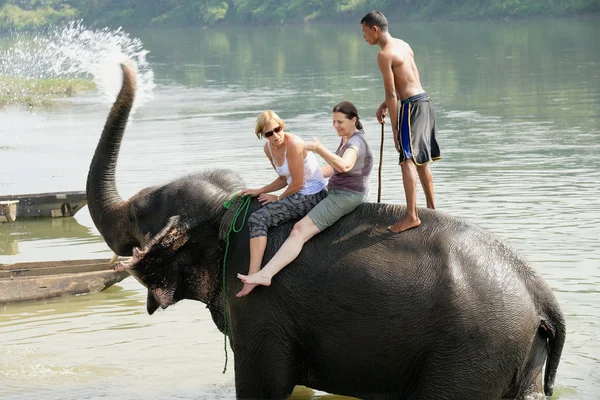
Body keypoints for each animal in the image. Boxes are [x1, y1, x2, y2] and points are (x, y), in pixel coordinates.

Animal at [86, 64, 564, 398]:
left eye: (140, 214)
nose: (124, 64)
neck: (226, 209)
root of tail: (539, 290)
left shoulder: (259, 307)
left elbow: (263, 387)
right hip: (514, 353)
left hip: (473, 350)